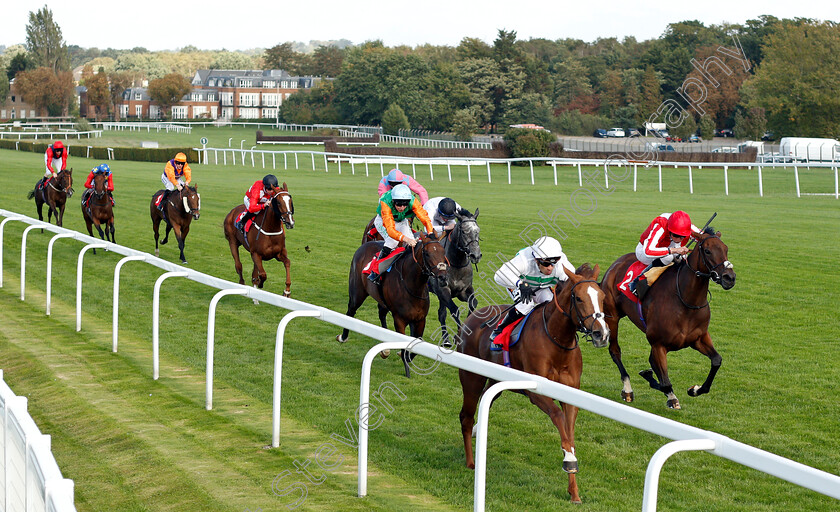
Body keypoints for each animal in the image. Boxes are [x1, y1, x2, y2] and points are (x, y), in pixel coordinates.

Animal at [338, 234, 450, 378]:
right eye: (427, 253)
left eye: (443, 252)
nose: (443, 278)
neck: (413, 287)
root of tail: (364, 245)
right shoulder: (399, 320)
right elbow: (405, 348)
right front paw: (407, 370)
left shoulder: (420, 319)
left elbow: (415, 345)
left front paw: (405, 358)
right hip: (357, 293)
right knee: (350, 311)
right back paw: (343, 337)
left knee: (381, 314)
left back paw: (385, 349)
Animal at [430, 209, 482, 348]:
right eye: (464, 231)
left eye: (478, 230)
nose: (476, 255)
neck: (456, 264)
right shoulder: (443, 290)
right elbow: (455, 311)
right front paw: (458, 337)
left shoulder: (463, 291)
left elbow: (473, 304)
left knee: (441, 313)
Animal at [456, 264, 608, 504]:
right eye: (578, 298)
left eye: (602, 296)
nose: (601, 334)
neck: (558, 342)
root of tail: (473, 316)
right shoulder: (536, 392)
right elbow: (557, 417)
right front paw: (569, 461)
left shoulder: (571, 394)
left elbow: (569, 432)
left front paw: (574, 490)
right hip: (471, 378)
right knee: (466, 416)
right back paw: (471, 461)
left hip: (496, 380)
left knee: (486, 401)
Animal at [596, 230, 736, 410]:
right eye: (707, 251)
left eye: (726, 249)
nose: (729, 278)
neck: (686, 301)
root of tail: (614, 265)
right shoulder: (658, 344)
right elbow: (665, 382)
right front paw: (670, 396)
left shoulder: (699, 338)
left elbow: (716, 361)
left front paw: (694, 389)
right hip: (612, 317)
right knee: (615, 351)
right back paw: (627, 389)